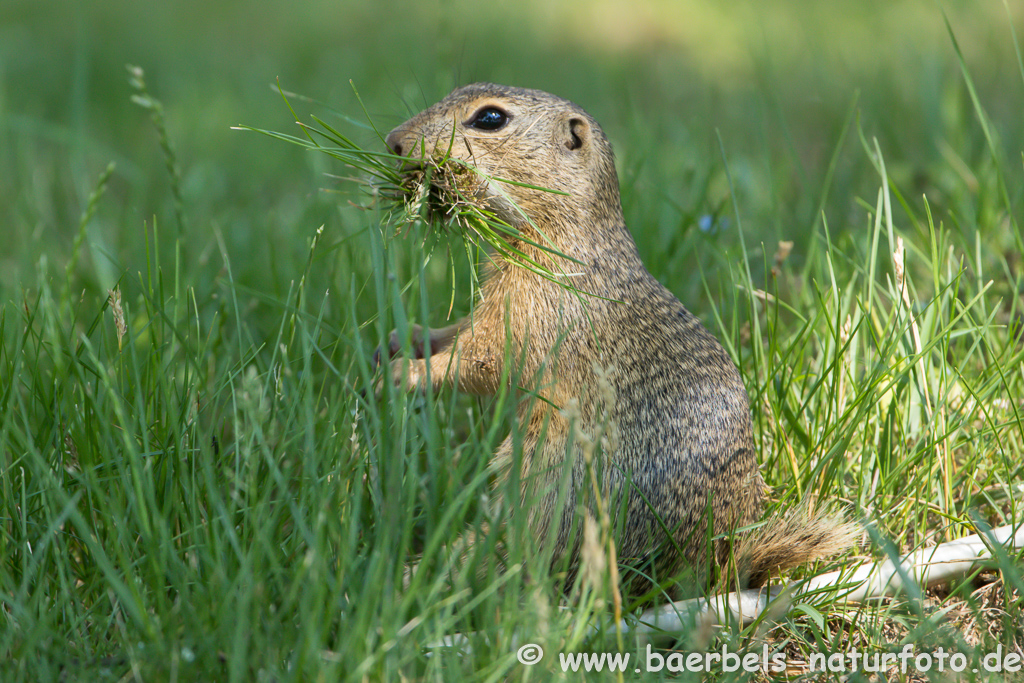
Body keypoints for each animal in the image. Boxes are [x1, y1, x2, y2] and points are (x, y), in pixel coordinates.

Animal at [380, 81, 851, 593]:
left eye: (490, 119)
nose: (394, 141)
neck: (564, 237)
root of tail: (712, 572)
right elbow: (460, 331)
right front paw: (407, 337)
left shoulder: (535, 314)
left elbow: (483, 360)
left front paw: (406, 374)